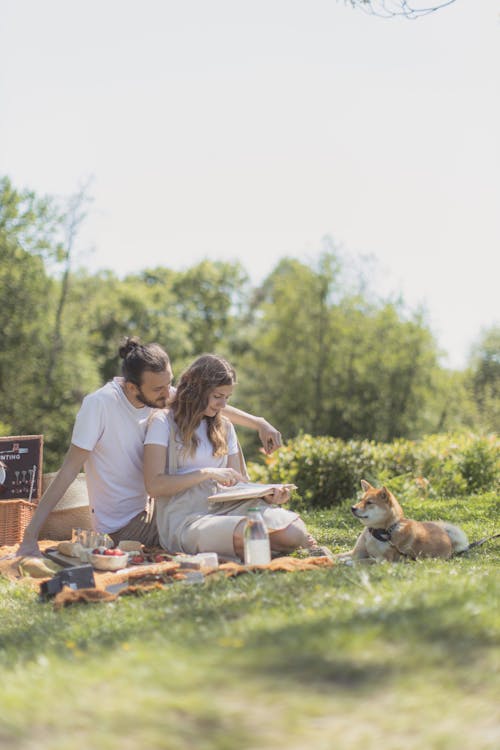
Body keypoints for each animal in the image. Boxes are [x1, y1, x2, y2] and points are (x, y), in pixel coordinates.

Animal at [336, 482, 468, 564]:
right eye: (361, 500)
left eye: (369, 502)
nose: (352, 508)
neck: (380, 532)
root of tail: (446, 534)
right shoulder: (356, 552)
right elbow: (337, 556)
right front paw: (334, 558)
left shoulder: (383, 559)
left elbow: (362, 561)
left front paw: (346, 562)